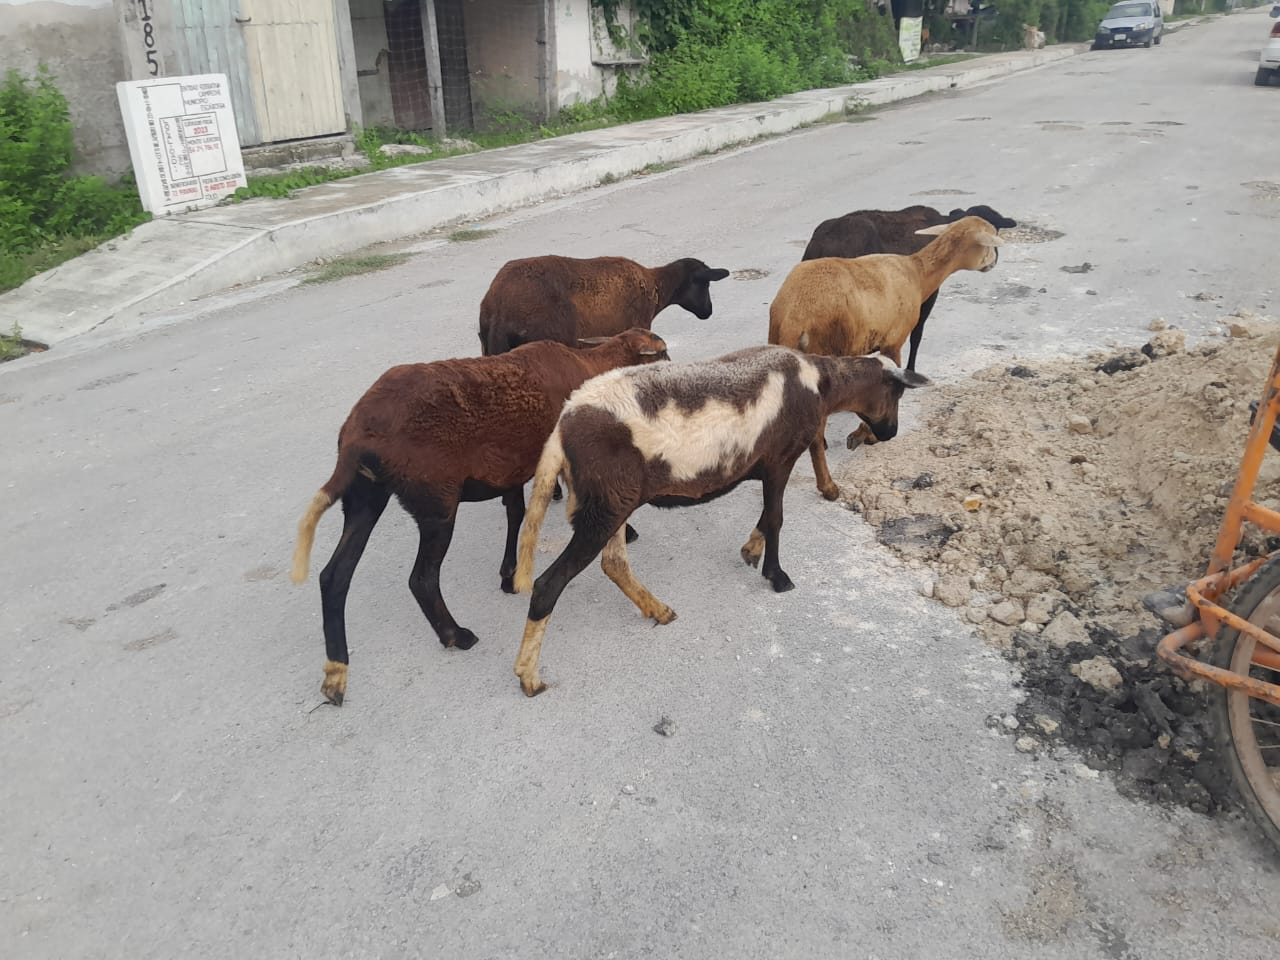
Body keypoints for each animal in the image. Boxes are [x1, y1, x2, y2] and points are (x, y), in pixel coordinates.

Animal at [290, 330, 670, 706]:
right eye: (661, 353)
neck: (590, 365)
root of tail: (355, 435)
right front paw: (627, 530)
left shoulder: (513, 469)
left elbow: (515, 513)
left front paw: (509, 574)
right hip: (436, 502)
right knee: (421, 579)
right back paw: (455, 635)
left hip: (365, 496)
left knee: (334, 576)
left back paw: (336, 673)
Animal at [798, 203, 1018, 371]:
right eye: (992, 234)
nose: (994, 261)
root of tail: (821, 242)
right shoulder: (927, 295)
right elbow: (917, 333)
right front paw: (910, 368)